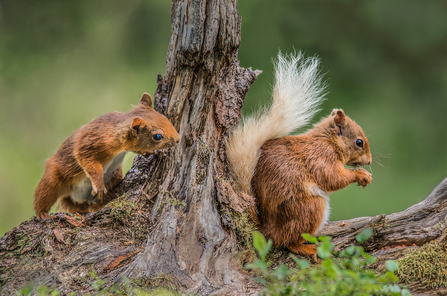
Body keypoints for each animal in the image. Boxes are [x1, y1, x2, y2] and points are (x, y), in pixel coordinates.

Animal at [33, 93, 180, 219]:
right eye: (157, 136)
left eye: (165, 118)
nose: (178, 139)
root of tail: (78, 198)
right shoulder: (93, 143)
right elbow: (87, 160)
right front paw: (98, 185)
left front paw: (155, 152)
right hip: (53, 179)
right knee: (43, 195)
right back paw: (42, 213)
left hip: (114, 175)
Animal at [226, 51, 372, 262]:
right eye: (359, 142)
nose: (369, 161)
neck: (328, 141)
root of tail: (267, 230)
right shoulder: (320, 157)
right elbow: (332, 178)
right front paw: (361, 175)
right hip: (310, 208)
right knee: (289, 243)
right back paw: (308, 248)